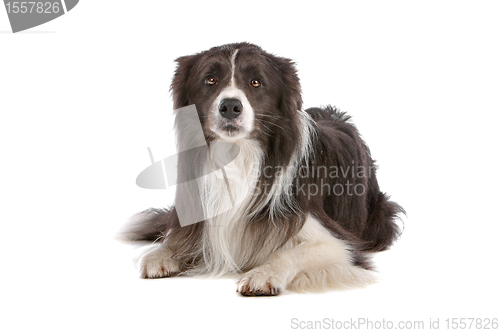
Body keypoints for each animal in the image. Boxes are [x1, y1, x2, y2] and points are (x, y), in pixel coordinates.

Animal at [120, 42, 402, 296]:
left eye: (256, 82)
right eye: (210, 80)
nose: (230, 106)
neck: (237, 154)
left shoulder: (340, 243)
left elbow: (292, 253)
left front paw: (264, 274)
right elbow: (173, 239)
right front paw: (157, 253)